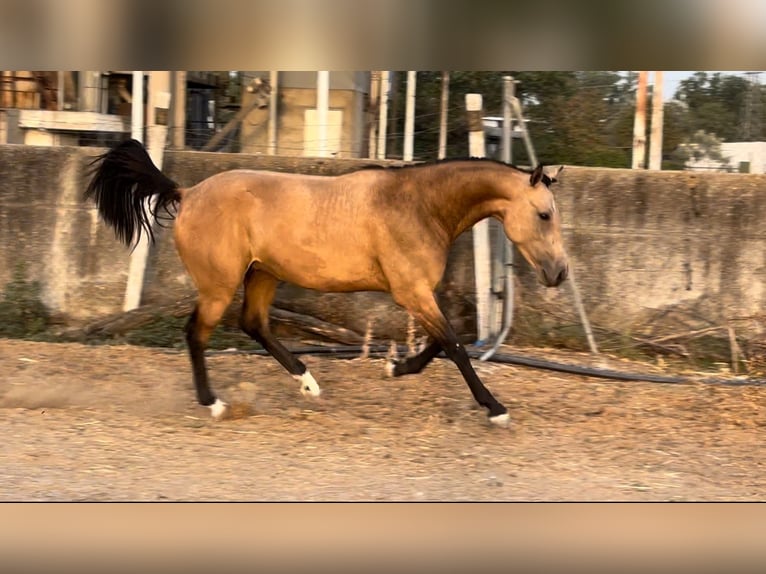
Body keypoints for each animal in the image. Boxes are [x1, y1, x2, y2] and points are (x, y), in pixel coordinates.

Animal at [84, 139, 568, 427]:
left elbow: (448, 340)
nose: (560, 273)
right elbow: (453, 344)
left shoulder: (418, 294)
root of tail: (187, 194)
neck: (418, 204)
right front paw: (495, 409)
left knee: (254, 324)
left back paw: (309, 383)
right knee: (197, 333)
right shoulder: (411, 292)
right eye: (545, 214)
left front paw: (395, 368)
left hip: (264, 274)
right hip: (220, 286)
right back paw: (214, 403)